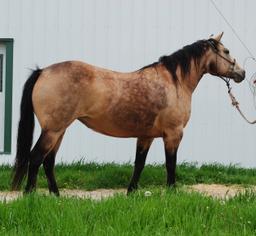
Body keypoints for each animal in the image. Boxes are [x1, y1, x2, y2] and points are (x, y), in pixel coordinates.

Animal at [12, 33, 246, 195]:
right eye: (226, 51)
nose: (242, 73)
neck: (174, 82)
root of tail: (42, 71)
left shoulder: (146, 136)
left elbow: (139, 164)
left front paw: (131, 192)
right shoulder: (173, 134)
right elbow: (171, 164)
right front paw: (172, 192)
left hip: (59, 131)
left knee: (48, 161)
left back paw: (57, 196)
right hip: (52, 130)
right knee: (36, 158)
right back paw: (30, 195)